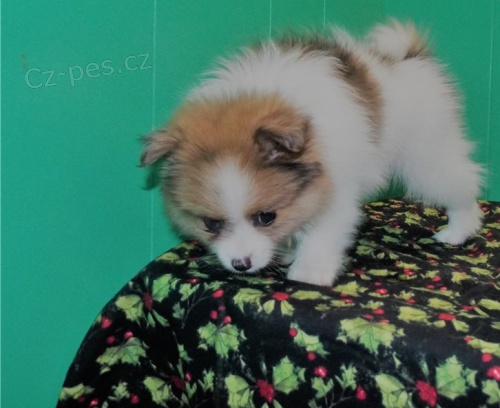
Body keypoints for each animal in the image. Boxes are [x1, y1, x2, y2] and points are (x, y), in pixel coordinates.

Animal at [140, 21, 482, 286]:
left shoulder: (335, 188)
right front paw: (288, 250)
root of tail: (409, 57)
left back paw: (458, 229)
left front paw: (309, 271)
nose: (241, 264)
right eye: (211, 224)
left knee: (463, 185)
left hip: (427, 156)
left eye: (266, 217)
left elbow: (322, 232)